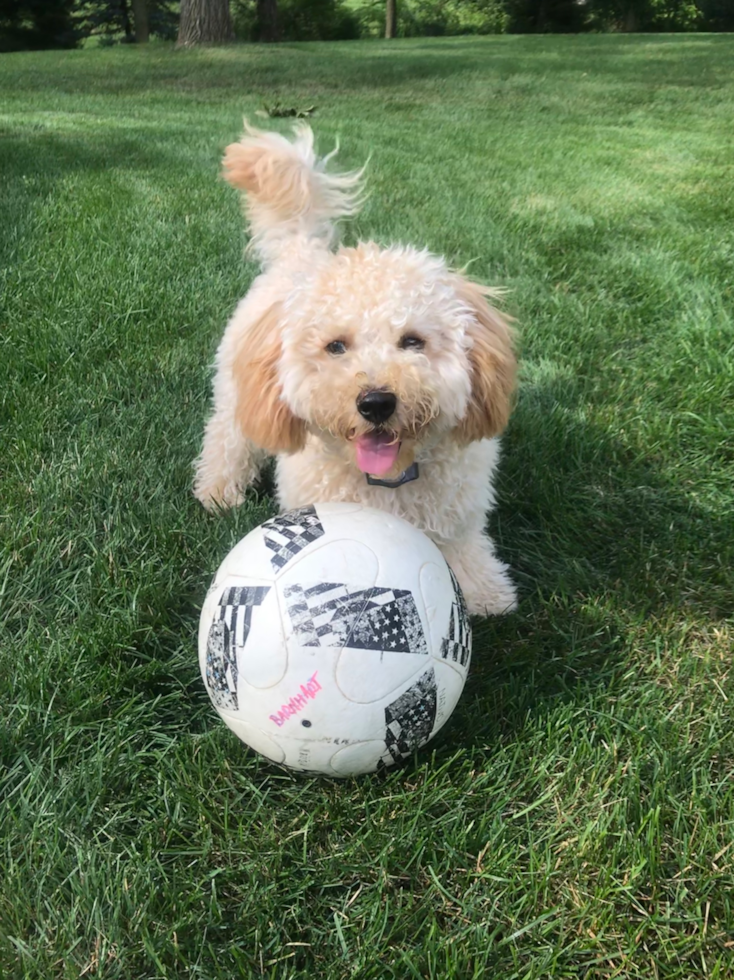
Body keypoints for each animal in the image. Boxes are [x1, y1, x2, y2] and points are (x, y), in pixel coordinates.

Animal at [194, 120, 516, 612]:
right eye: (335, 347)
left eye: (413, 341)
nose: (376, 402)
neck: (389, 479)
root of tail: (303, 252)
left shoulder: (459, 511)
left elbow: (465, 548)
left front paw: (487, 594)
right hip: (236, 395)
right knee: (226, 440)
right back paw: (217, 490)